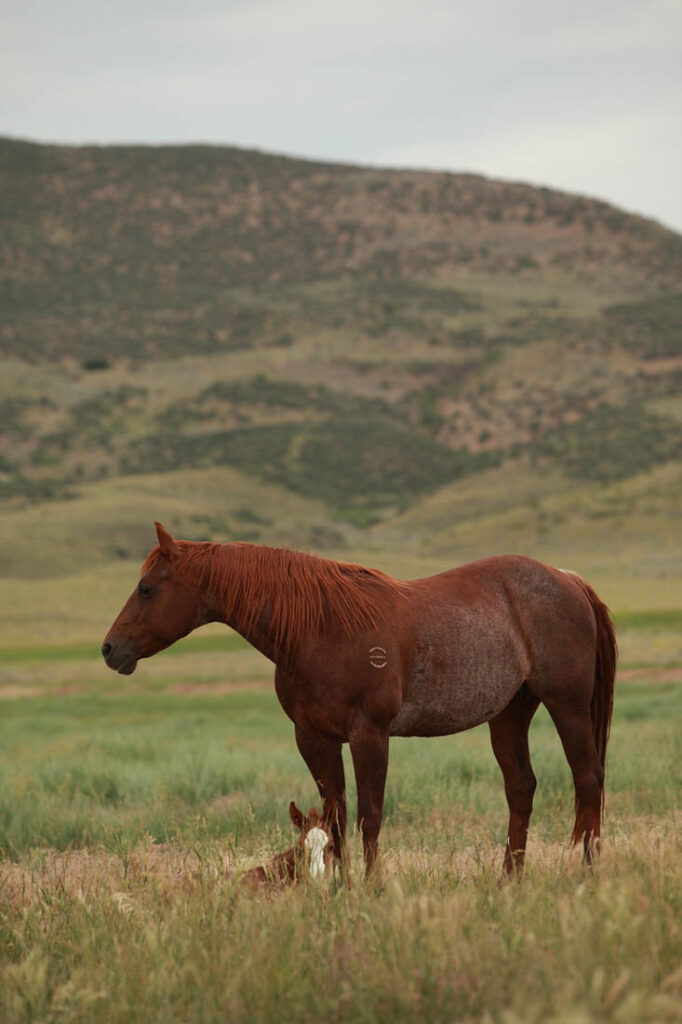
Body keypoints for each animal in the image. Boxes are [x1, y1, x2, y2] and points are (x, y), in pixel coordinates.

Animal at [102, 524, 614, 876]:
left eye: (146, 588)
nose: (109, 650)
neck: (319, 629)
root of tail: (569, 579)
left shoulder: (370, 735)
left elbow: (369, 816)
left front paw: (370, 887)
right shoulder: (314, 738)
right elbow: (336, 817)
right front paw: (338, 888)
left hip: (566, 705)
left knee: (587, 780)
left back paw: (587, 876)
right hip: (510, 713)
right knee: (521, 789)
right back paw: (509, 880)